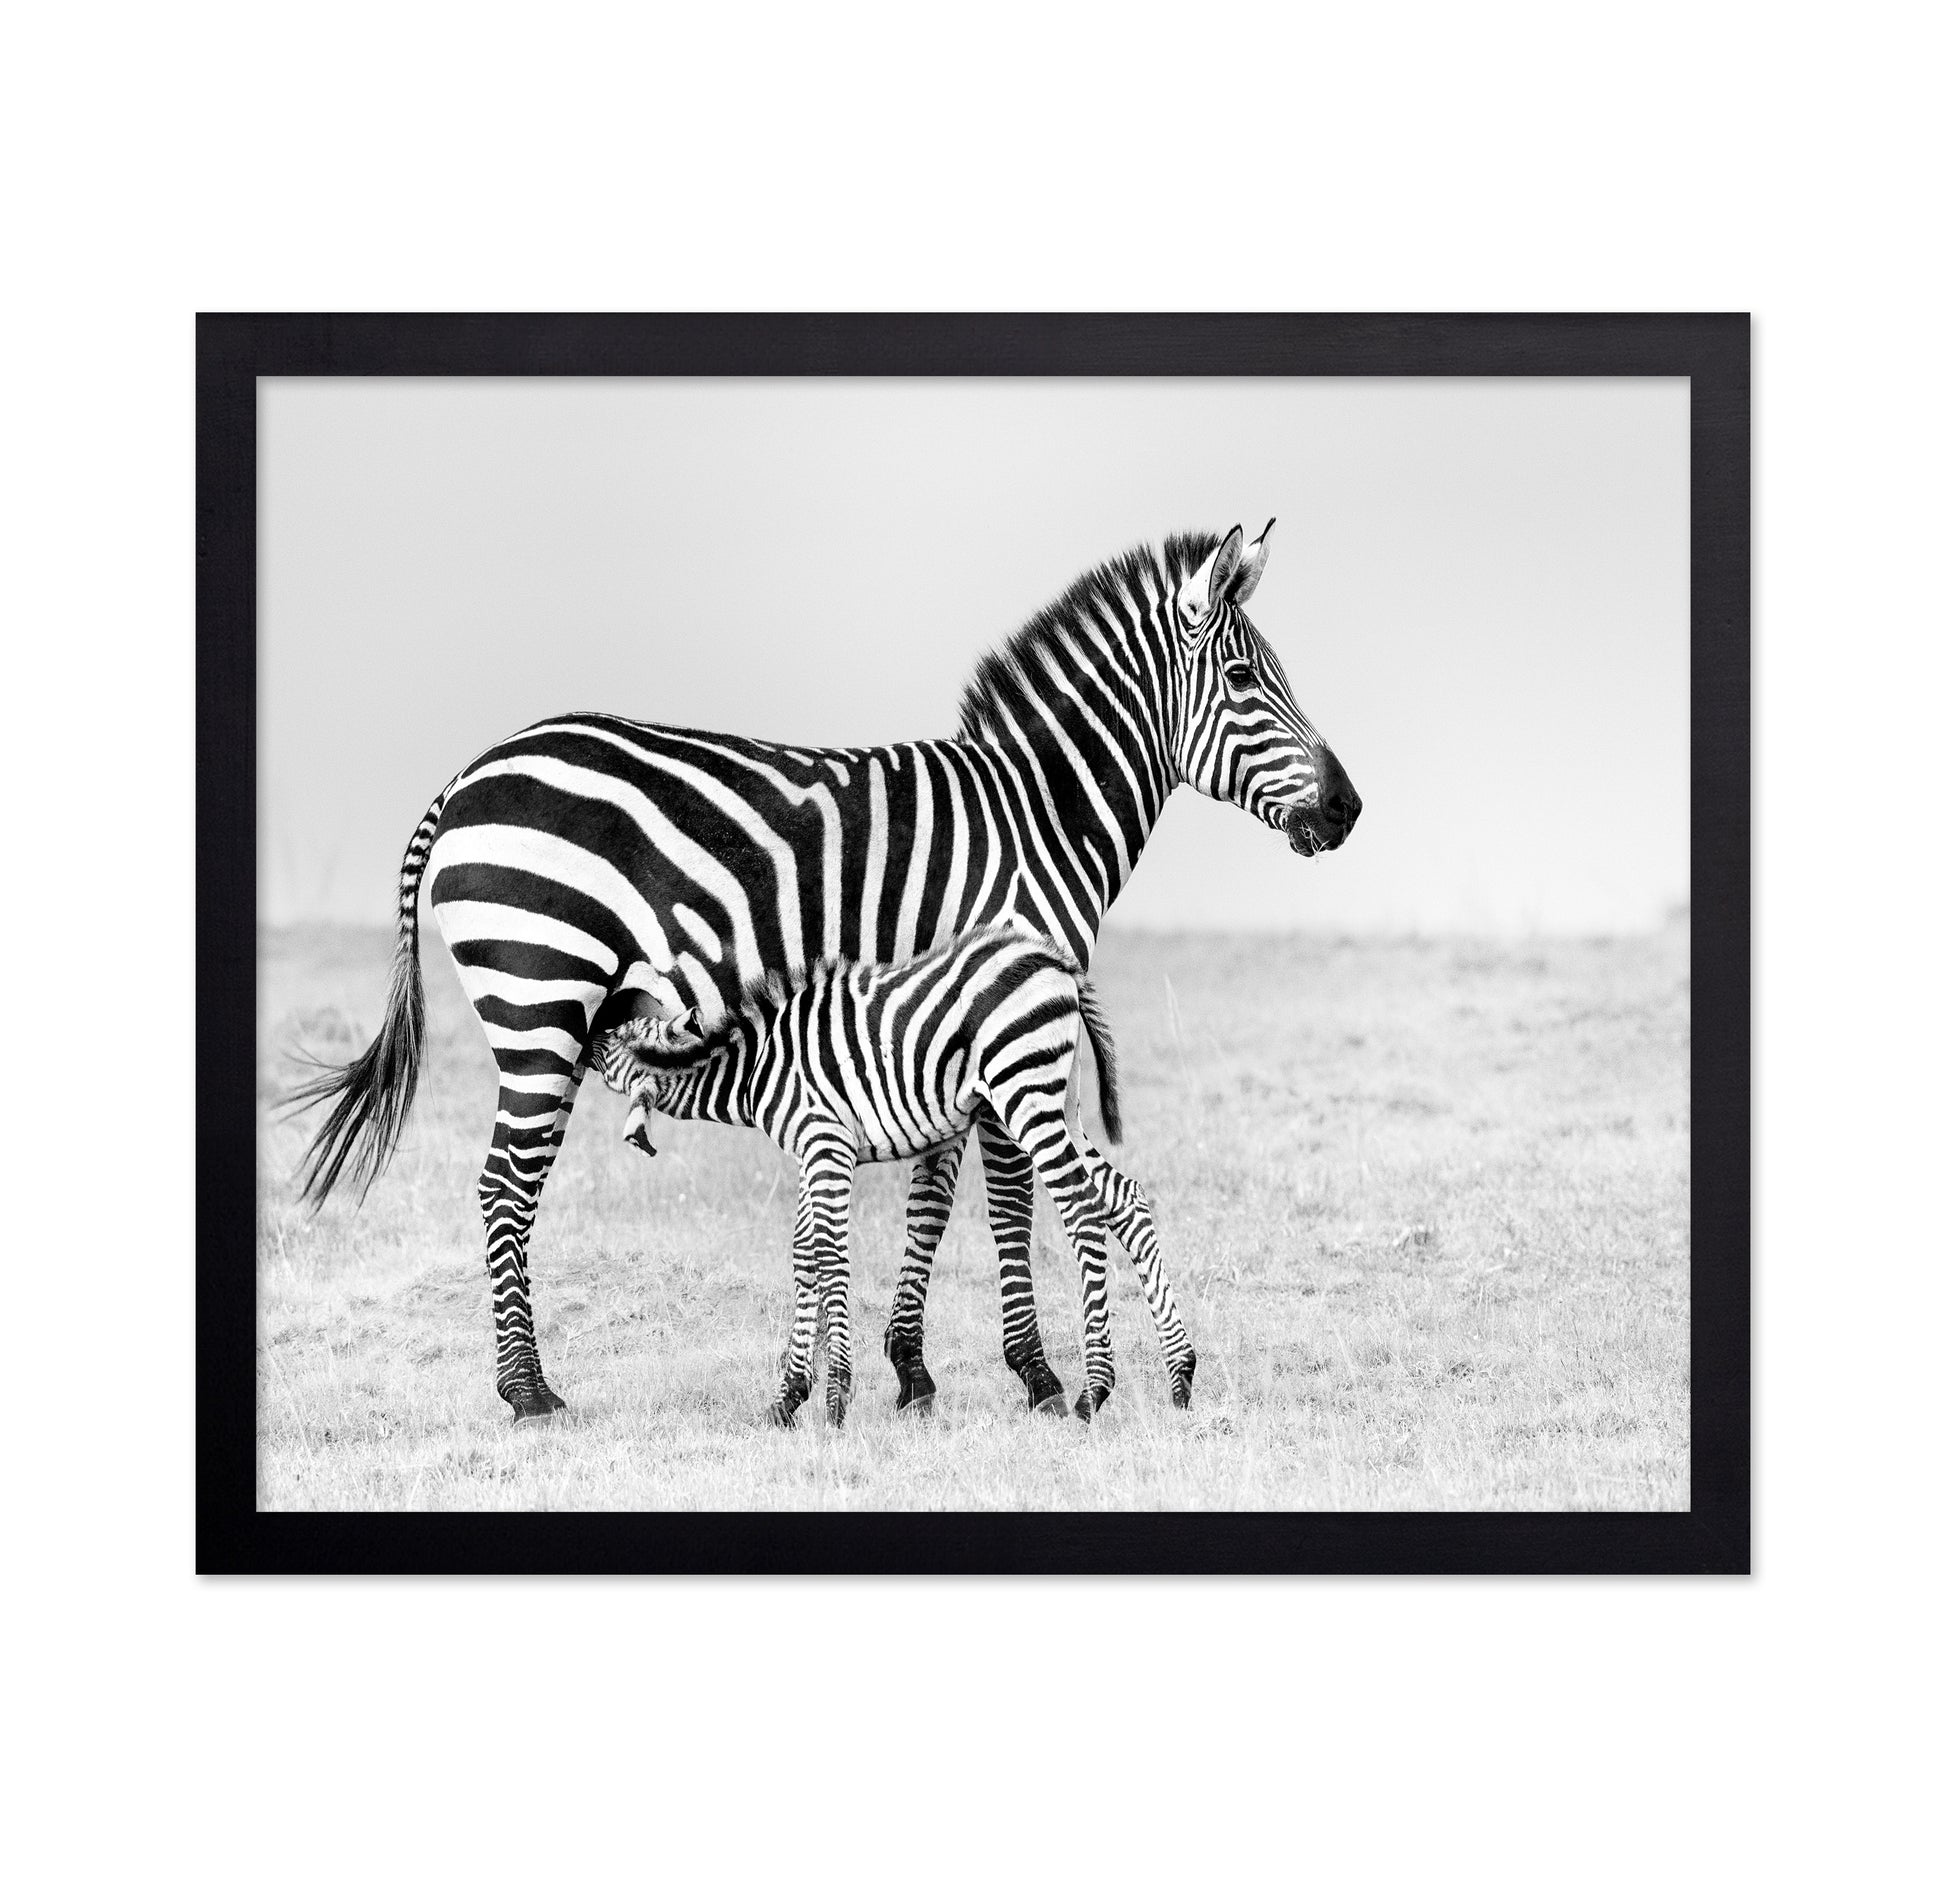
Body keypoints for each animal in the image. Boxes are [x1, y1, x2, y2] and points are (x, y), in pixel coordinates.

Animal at [591, 929, 1194, 1425]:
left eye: (614, 1037)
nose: (591, 1020)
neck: (759, 1069)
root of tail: (1054, 959)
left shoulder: (826, 1144)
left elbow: (829, 1258)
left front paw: (835, 1402)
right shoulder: (815, 1152)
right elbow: (804, 1254)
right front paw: (787, 1399)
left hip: (1025, 1095)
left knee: (1081, 1208)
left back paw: (1095, 1390)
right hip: (1060, 1101)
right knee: (1124, 1198)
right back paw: (1181, 1377)